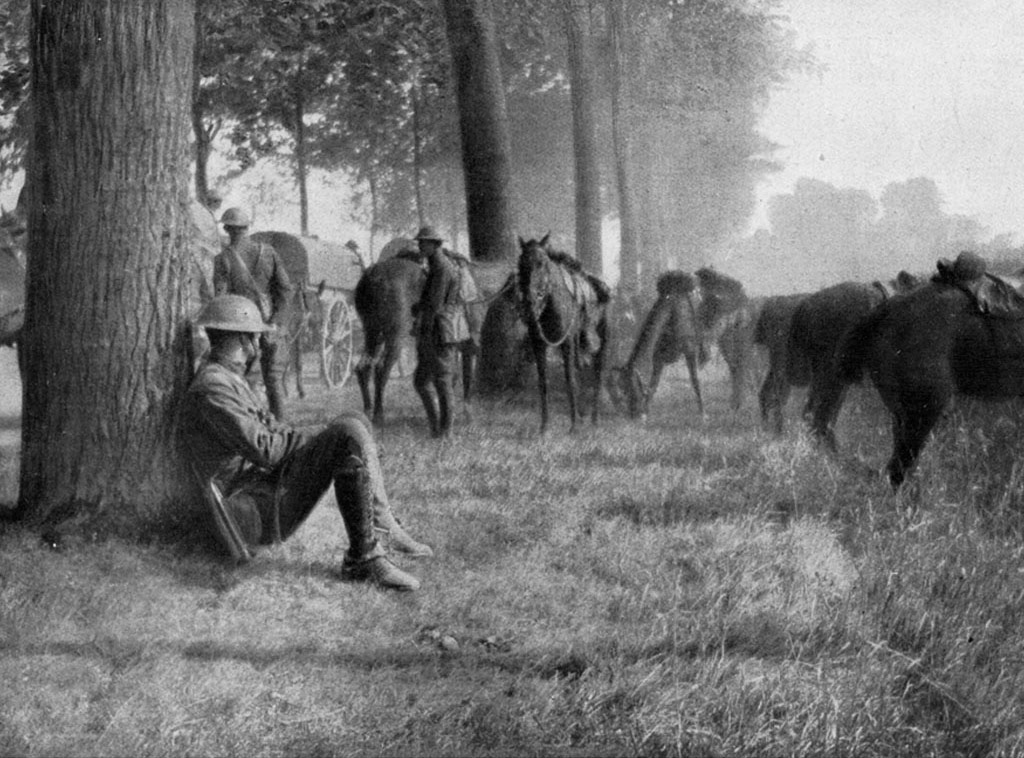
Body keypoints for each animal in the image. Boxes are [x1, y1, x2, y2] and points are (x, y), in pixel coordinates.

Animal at [516, 233, 610, 432]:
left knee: (597, 375)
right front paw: (544, 426)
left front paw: (574, 426)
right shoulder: (538, 344)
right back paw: (583, 413)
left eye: (542, 263)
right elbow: (543, 381)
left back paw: (594, 418)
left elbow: (569, 379)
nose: (529, 302)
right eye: (521, 263)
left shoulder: (566, 343)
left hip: (602, 343)